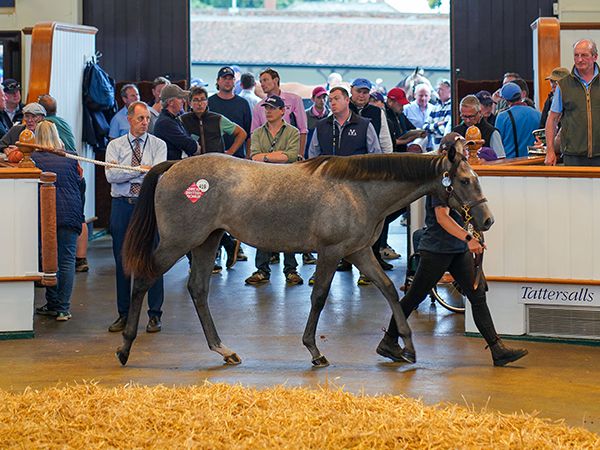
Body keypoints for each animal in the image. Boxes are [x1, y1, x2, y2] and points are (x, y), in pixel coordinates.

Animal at [117, 146, 492, 368]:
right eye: (463, 180)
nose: (486, 220)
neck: (358, 191)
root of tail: (171, 167)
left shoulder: (358, 252)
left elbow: (388, 289)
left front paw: (403, 348)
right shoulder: (331, 252)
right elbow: (320, 296)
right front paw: (315, 351)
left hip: (206, 242)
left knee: (197, 289)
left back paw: (224, 350)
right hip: (178, 243)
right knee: (144, 279)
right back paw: (124, 347)